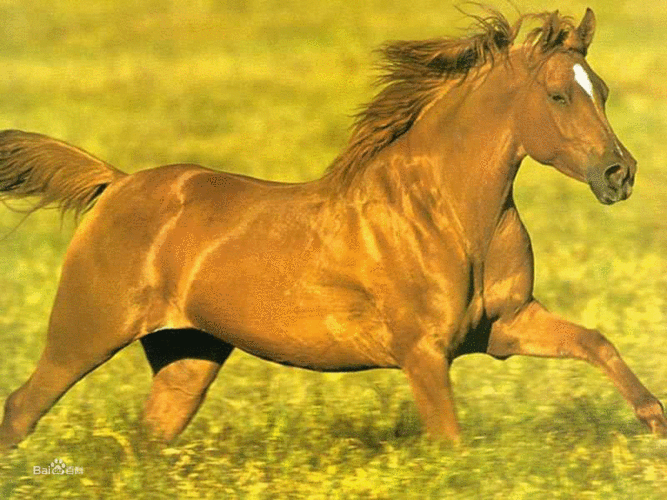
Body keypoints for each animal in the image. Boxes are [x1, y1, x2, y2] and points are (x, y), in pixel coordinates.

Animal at [1, 8, 665, 450]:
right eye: (557, 96)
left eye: (602, 91)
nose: (620, 173)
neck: (445, 215)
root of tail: (114, 184)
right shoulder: (423, 352)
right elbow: (450, 439)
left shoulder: (503, 327)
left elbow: (595, 341)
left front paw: (653, 420)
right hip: (86, 333)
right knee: (22, 407)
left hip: (187, 354)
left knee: (150, 437)